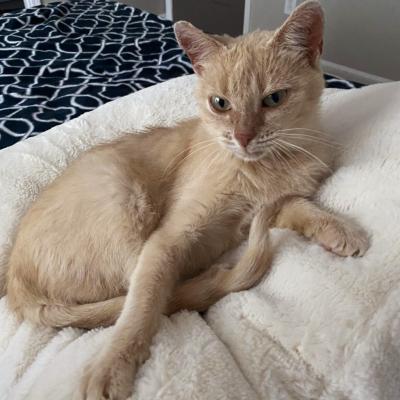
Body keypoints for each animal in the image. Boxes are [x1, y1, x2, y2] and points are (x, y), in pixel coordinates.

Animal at [6, 1, 368, 398]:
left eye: (274, 99)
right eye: (220, 104)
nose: (242, 137)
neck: (262, 170)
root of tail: (15, 285)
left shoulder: (266, 207)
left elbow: (296, 205)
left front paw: (337, 228)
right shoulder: (165, 241)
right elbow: (143, 304)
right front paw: (113, 365)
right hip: (121, 199)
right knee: (152, 293)